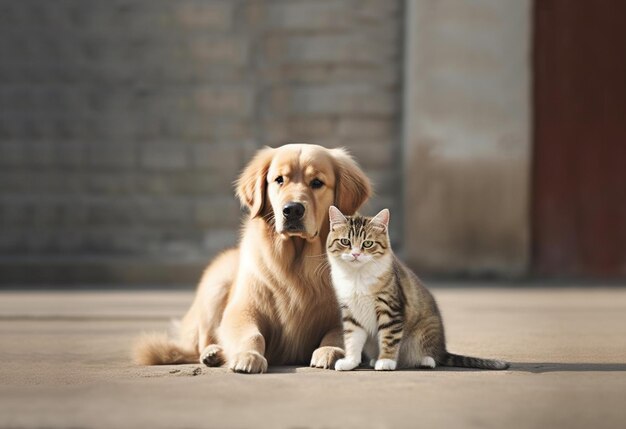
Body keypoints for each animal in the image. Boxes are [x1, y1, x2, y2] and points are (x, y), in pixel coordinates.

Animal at [134, 144, 370, 372]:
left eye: (317, 183)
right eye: (279, 179)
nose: (292, 210)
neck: (297, 264)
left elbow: (337, 333)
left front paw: (329, 351)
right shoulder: (242, 309)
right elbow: (253, 335)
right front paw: (248, 356)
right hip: (217, 283)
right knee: (201, 341)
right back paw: (213, 353)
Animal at [326, 206, 508, 370]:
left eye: (368, 243)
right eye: (345, 241)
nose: (356, 254)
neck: (357, 276)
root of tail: (442, 350)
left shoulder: (391, 308)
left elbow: (389, 337)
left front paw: (386, 361)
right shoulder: (351, 312)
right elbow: (352, 339)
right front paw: (350, 362)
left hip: (423, 333)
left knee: (431, 356)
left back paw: (425, 361)